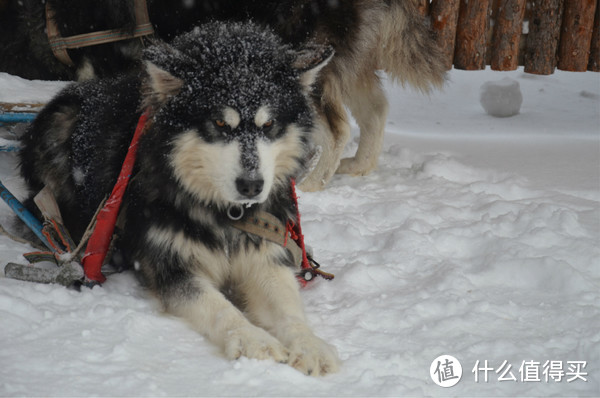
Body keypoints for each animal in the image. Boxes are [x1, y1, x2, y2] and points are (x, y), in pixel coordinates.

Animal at [19, 21, 338, 376]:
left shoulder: (265, 254)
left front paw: (310, 344)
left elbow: (288, 306)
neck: (224, 214)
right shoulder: (171, 266)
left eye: (268, 124)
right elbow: (219, 306)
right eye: (219, 123)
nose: (252, 186)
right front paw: (252, 338)